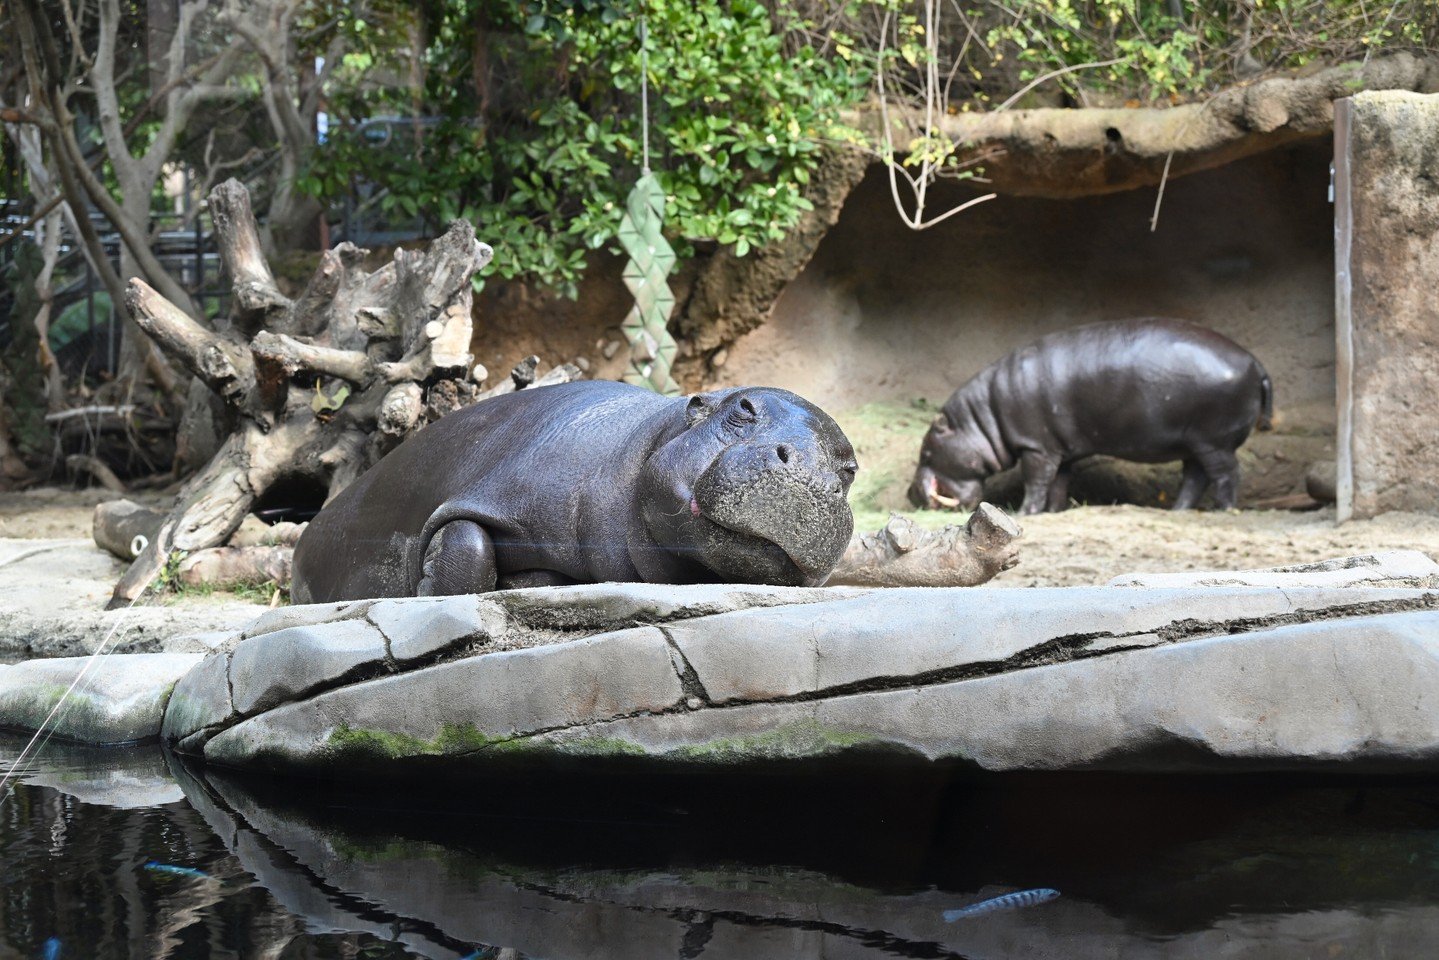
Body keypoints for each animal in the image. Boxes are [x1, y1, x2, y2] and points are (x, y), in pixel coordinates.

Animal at [291, 380, 859, 602]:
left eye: (849, 468)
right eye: (743, 409)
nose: (812, 477)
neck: (639, 446)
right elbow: (466, 544)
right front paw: (427, 592)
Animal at [909, 318, 1272, 515]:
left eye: (925, 452)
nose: (910, 494)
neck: (983, 419)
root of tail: (1256, 363)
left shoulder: (1036, 447)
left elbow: (1036, 481)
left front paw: (1025, 512)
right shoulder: (1060, 450)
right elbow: (1058, 482)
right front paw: (1054, 511)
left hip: (1214, 441)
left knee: (1225, 474)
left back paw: (1222, 508)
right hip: (1194, 442)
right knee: (1195, 477)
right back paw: (1178, 510)